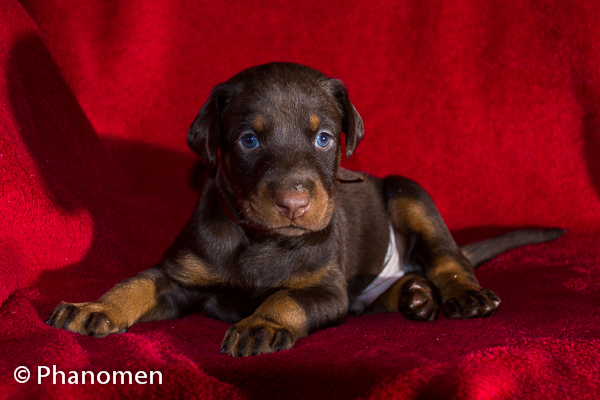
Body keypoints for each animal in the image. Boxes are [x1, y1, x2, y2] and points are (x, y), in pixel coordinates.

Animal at [47, 62, 563, 357]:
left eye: (324, 138)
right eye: (248, 140)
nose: (294, 204)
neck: (261, 238)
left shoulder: (323, 289)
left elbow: (285, 297)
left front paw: (262, 323)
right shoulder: (179, 274)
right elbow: (136, 283)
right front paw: (95, 307)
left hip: (408, 192)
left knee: (447, 258)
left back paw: (461, 294)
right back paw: (415, 297)